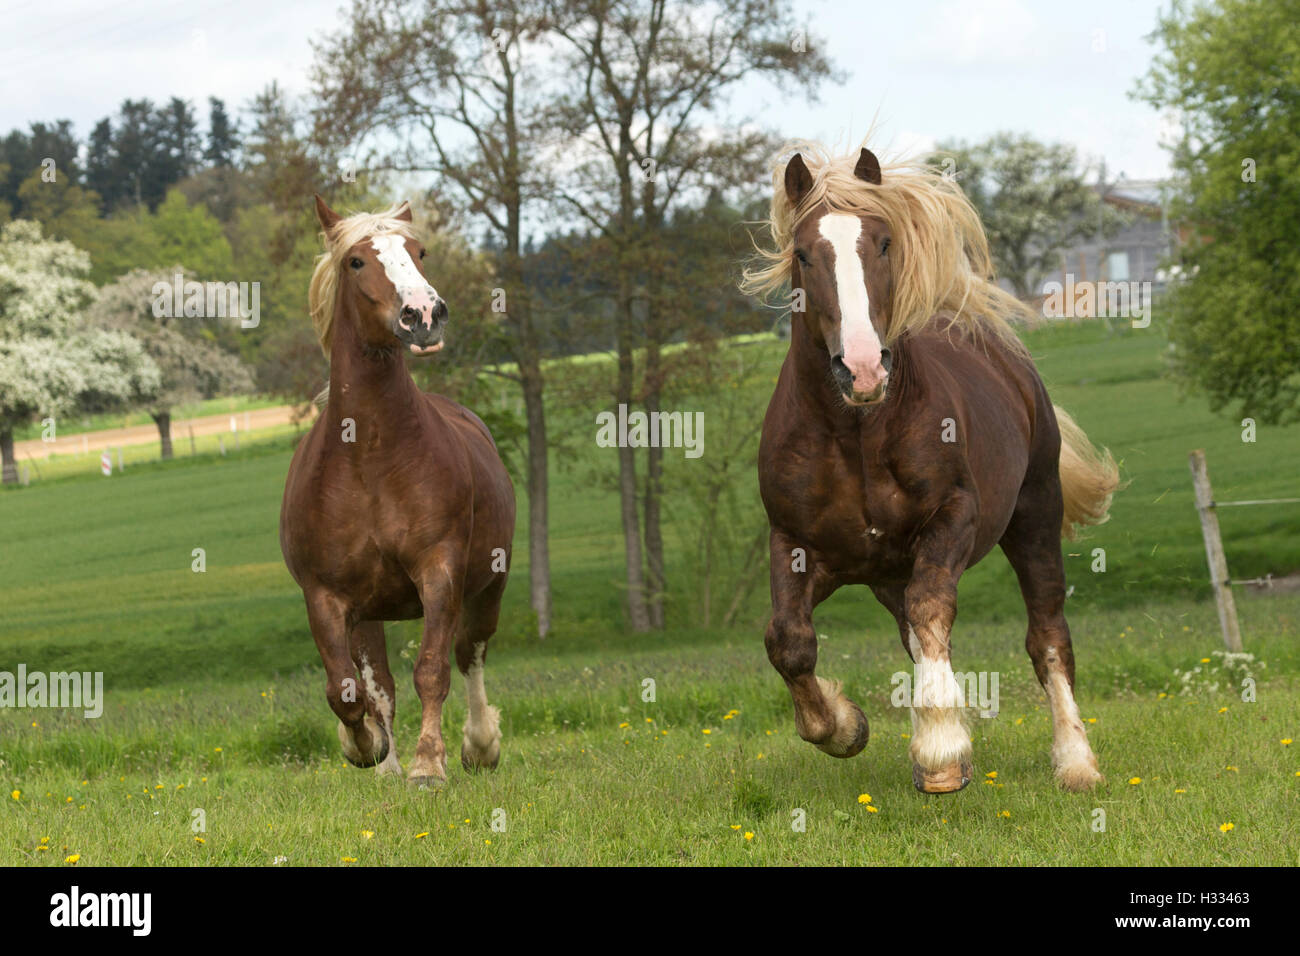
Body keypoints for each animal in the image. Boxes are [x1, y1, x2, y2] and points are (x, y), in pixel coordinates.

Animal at [282, 196, 514, 790]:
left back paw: (480, 745)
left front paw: (428, 764)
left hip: (488, 587)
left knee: (471, 653)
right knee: (378, 684)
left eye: (419, 251)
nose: (424, 315)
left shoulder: (440, 572)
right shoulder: (326, 596)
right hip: (370, 611)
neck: (370, 458)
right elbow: (347, 689)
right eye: (356, 261)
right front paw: (365, 747)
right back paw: (385, 760)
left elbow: (431, 670)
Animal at [743, 143, 1118, 790]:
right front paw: (846, 727)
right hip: (888, 571)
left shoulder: (952, 518)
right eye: (802, 254)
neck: (858, 434)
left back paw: (1075, 762)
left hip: (1035, 518)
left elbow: (933, 608)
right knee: (914, 637)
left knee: (1046, 634)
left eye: (883, 242)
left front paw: (941, 748)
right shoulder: (794, 542)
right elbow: (789, 641)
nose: (863, 368)